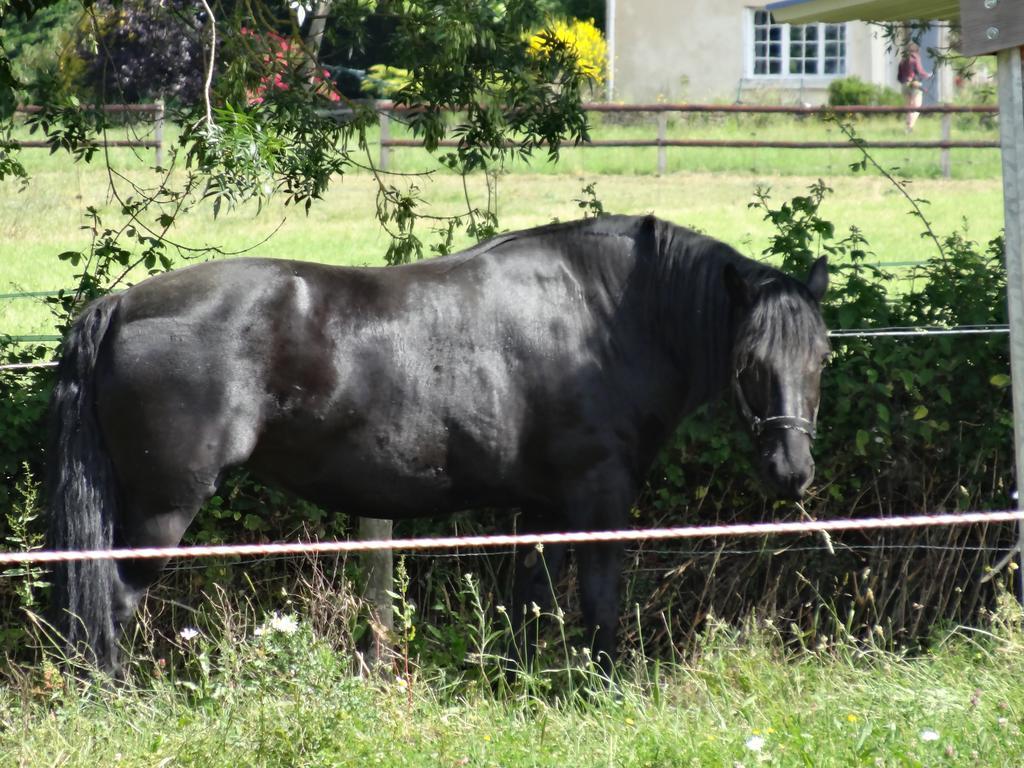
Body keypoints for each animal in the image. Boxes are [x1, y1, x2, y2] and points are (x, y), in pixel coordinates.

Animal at [49, 215, 831, 671]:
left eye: (821, 357)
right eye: (749, 363)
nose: (791, 471)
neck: (601, 316)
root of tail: (120, 304)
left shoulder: (542, 510)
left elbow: (528, 605)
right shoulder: (598, 499)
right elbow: (600, 602)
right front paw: (605, 688)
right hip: (162, 512)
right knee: (112, 604)